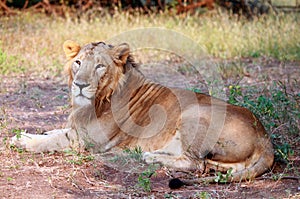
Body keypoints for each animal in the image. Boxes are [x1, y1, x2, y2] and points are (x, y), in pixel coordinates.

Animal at [11, 40, 274, 185]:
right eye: (78, 62)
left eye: (99, 66)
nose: (80, 85)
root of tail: (265, 138)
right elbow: (55, 130)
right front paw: (31, 133)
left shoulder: (88, 140)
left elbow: (54, 139)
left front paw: (22, 141)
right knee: (210, 165)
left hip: (194, 113)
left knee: (196, 164)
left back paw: (150, 157)